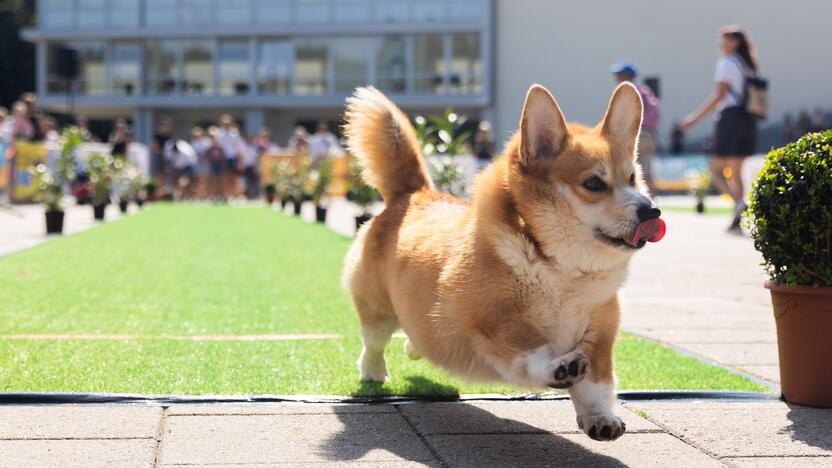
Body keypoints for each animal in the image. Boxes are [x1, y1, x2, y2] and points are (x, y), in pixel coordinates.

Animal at [342, 82, 668, 440]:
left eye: (632, 178)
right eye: (593, 183)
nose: (652, 211)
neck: (559, 267)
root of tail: (413, 194)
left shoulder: (600, 332)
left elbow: (596, 383)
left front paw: (599, 417)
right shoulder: (497, 322)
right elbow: (533, 352)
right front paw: (560, 368)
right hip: (375, 309)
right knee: (373, 341)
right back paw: (373, 372)